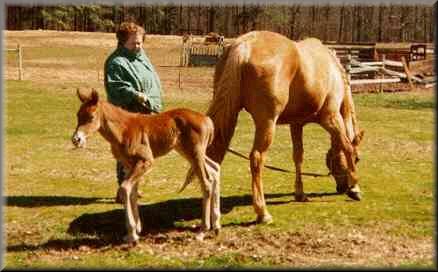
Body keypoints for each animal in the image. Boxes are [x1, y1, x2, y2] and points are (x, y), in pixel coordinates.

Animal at [72, 88, 222, 243]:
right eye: (78, 115)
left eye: (91, 117)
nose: (76, 139)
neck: (123, 129)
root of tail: (207, 119)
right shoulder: (129, 164)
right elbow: (132, 192)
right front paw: (136, 230)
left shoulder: (146, 161)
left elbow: (124, 188)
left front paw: (132, 234)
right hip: (189, 153)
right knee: (215, 169)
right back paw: (216, 225)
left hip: (195, 153)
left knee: (207, 183)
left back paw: (202, 231)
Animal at [204, 30, 364, 224]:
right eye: (358, 159)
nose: (341, 188)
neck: (332, 68)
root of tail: (245, 44)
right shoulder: (331, 118)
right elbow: (347, 146)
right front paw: (355, 188)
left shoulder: (296, 124)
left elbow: (298, 157)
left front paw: (300, 193)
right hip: (267, 122)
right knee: (256, 158)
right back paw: (262, 212)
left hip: (228, 113)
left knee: (214, 156)